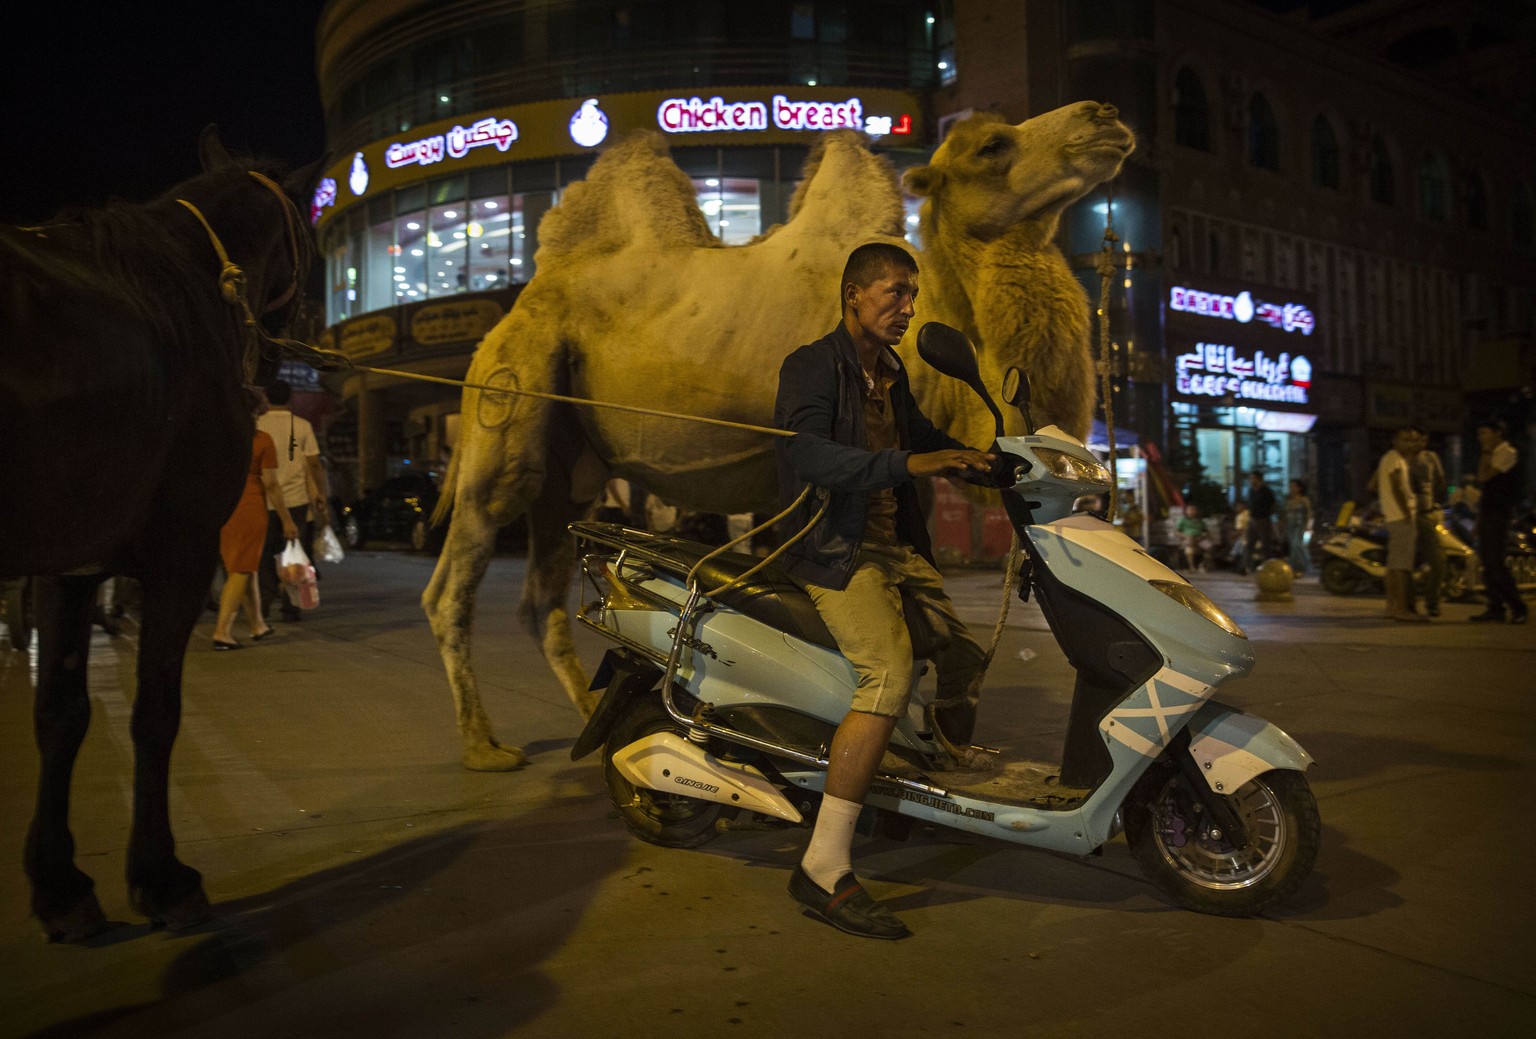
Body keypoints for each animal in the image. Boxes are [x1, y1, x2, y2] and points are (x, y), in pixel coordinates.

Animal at [2, 127, 321, 940]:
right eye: (310, 238)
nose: (298, 344)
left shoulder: (71, 562)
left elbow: (61, 713)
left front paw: (60, 883)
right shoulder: (180, 550)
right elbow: (155, 713)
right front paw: (161, 874)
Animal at [420, 103, 1130, 771]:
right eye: (992, 147)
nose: (1103, 117)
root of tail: (513, 311)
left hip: (570, 467)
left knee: (540, 593)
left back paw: (590, 720)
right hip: (510, 401)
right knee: (455, 578)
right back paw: (483, 746)